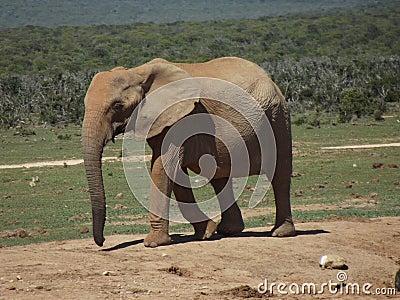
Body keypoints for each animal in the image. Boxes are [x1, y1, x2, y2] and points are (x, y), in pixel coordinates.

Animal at [81, 56, 296, 248]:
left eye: (118, 106)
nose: (102, 242)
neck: (138, 72)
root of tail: (269, 78)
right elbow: (173, 172)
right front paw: (206, 233)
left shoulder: (181, 119)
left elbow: (163, 168)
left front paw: (153, 243)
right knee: (219, 176)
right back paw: (228, 230)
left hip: (278, 116)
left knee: (280, 173)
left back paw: (280, 233)